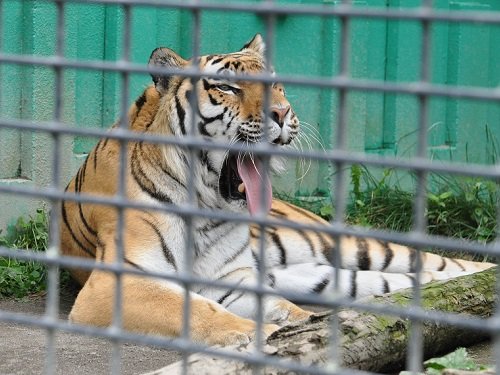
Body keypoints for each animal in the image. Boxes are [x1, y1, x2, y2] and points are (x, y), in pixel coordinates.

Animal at [60, 34, 494, 346]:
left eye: (276, 83)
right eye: (228, 87)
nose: (283, 113)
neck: (207, 207)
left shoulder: (230, 276)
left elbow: (276, 307)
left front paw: (299, 326)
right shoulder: (116, 282)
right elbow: (200, 311)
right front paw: (265, 335)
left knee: (444, 264)